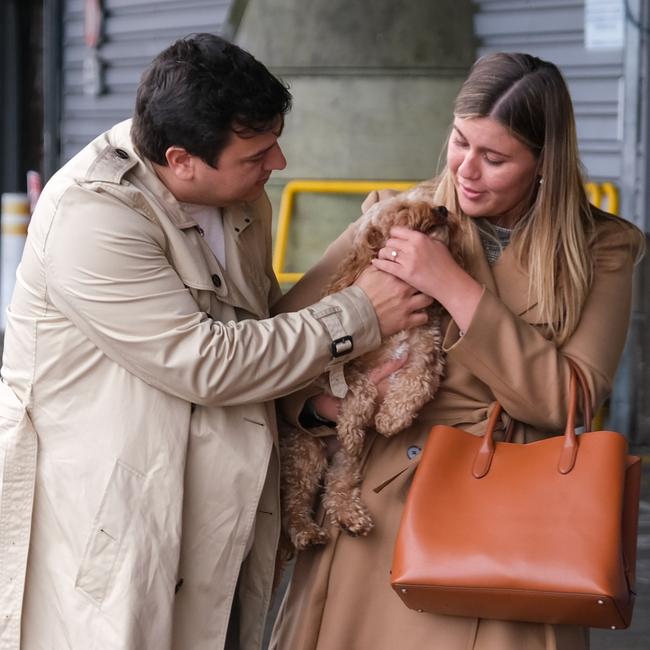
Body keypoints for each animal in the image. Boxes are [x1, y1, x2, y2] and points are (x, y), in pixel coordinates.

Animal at [278, 182, 460, 552]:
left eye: (431, 201)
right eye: (403, 208)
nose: (442, 210)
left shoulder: (425, 356)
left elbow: (416, 384)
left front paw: (391, 419)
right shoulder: (333, 368)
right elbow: (359, 387)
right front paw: (353, 421)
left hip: (346, 462)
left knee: (337, 488)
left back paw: (351, 518)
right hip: (306, 450)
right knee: (295, 500)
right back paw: (306, 531)